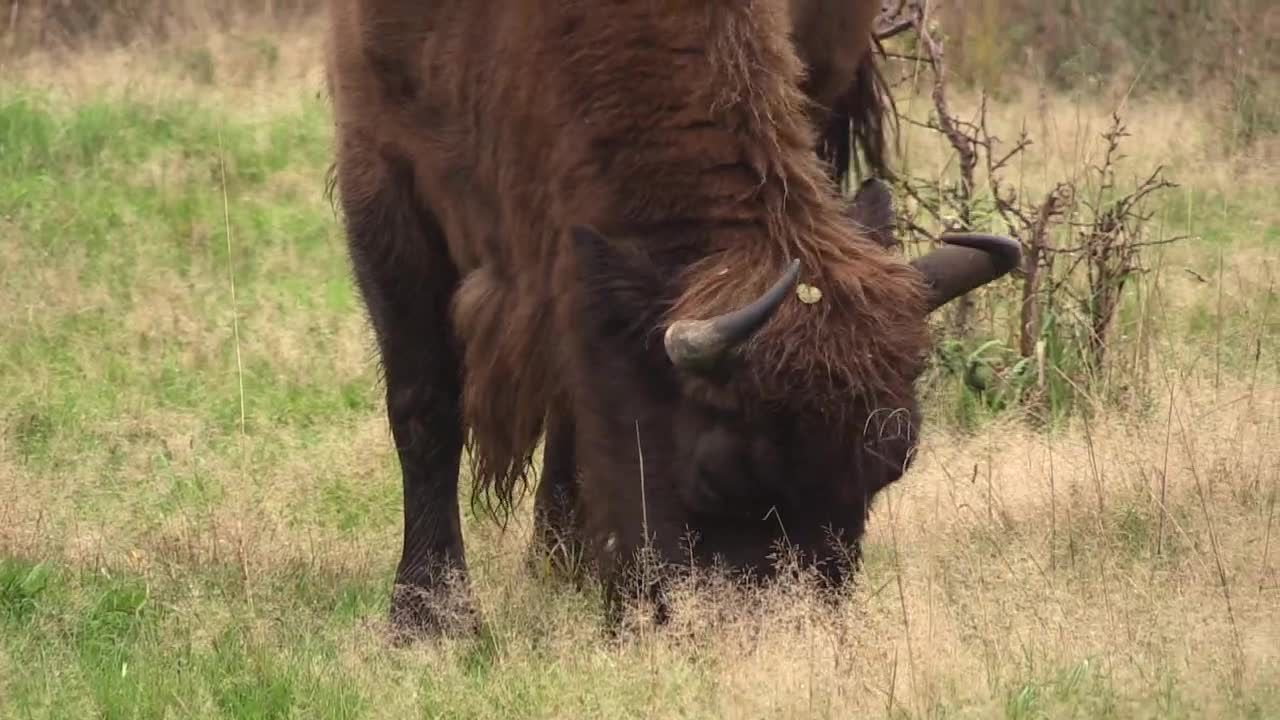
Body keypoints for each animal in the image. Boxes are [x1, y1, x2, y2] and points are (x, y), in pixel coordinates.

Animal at [322, 0, 1018, 630]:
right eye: (718, 477)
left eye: (889, 468)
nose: (787, 635)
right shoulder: (380, 165)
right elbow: (425, 406)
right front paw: (428, 620)